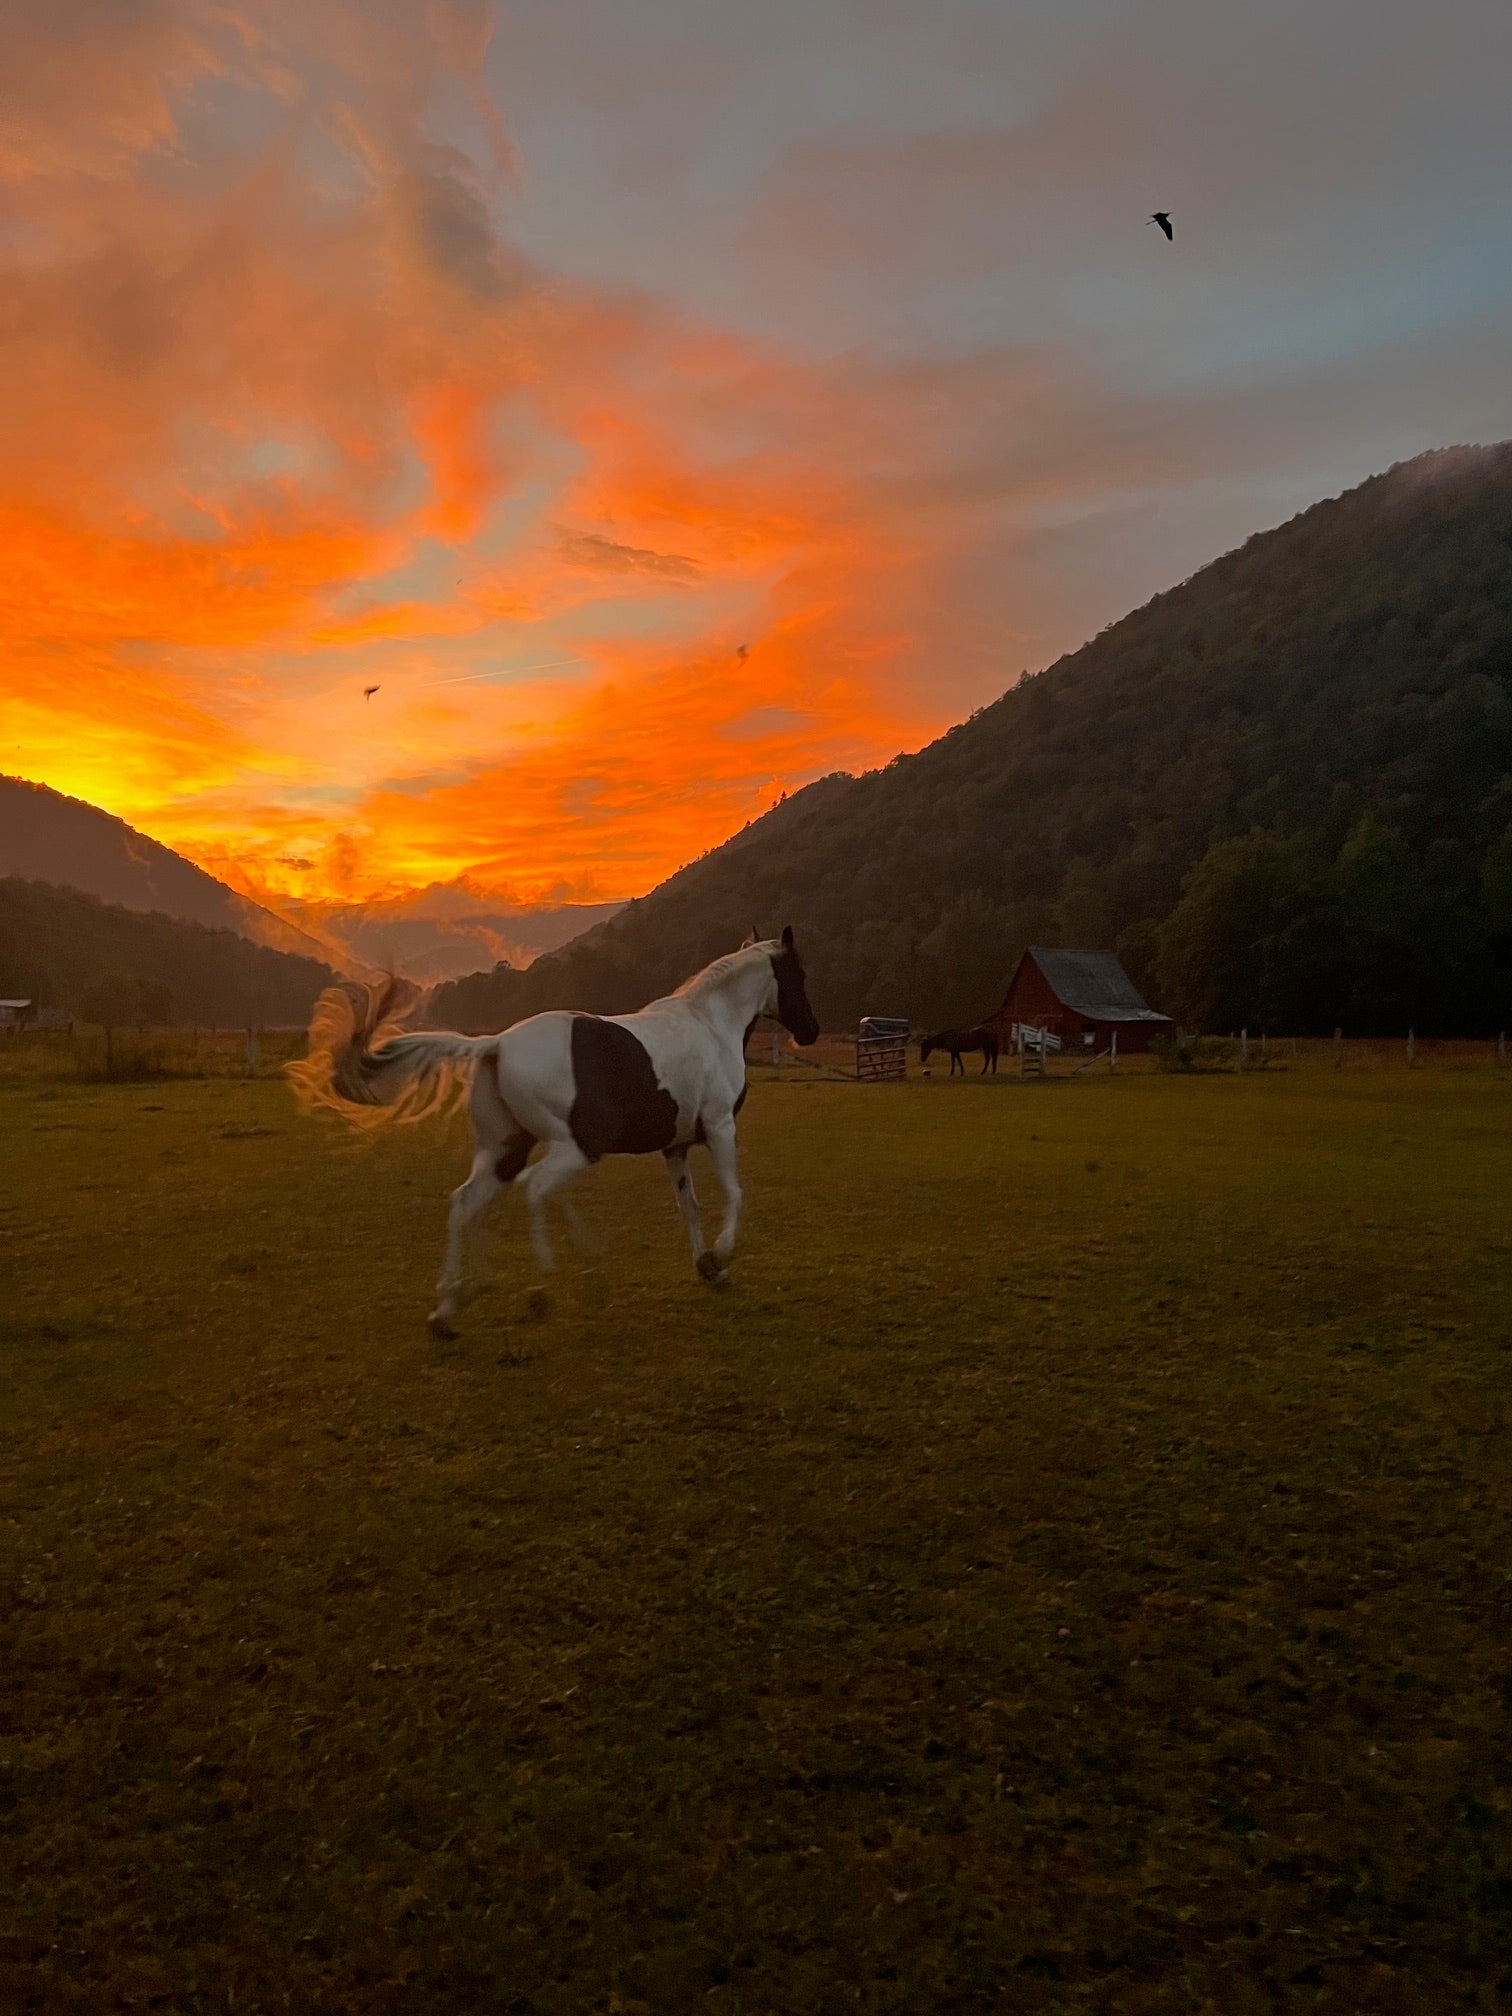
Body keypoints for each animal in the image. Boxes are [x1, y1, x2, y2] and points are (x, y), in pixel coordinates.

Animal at [288, 928, 820, 1337]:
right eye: (799, 975)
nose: (811, 1031)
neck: (709, 1025)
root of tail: (496, 1044)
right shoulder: (719, 1126)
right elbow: (734, 1193)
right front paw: (722, 1256)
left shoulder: (676, 1146)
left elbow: (687, 1206)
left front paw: (708, 1266)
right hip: (573, 1149)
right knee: (535, 1190)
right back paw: (546, 1284)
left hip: (507, 1149)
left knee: (468, 1201)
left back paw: (455, 1304)